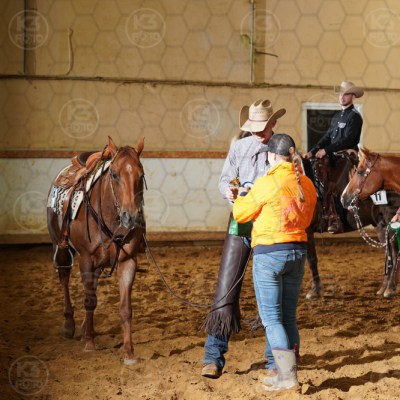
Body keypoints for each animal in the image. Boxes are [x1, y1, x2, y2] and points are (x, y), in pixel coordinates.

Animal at [47, 136, 146, 364]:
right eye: (115, 174)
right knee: (64, 277)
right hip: (60, 245)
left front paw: (129, 352)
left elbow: (126, 308)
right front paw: (90, 343)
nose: (130, 217)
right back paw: (70, 325)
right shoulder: (85, 259)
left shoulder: (128, 260)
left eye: (141, 174)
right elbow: (89, 301)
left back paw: (84, 326)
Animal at [303, 152, 400, 299]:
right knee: (388, 254)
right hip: (382, 227)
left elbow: (311, 259)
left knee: (394, 254)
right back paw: (384, 288)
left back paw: (390, 288)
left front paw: (314, 291)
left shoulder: (307, 231)